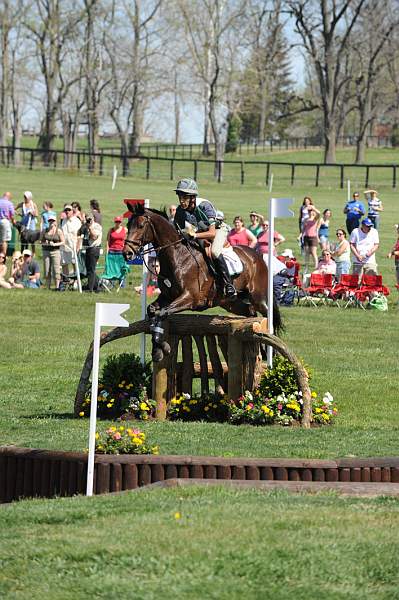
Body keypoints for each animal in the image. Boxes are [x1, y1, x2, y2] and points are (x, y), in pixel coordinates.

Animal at [123, 202, 282, 360]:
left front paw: (162, 346)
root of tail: (257, 256)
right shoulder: (167, 296)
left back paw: (272, 352)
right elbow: (152, 311)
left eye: (141, 226)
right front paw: (158, 348)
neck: (178, 256)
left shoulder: (190, 298)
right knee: (251, 315)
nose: (127, 253)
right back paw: (261, 350)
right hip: (233, 303)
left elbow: (161, 313)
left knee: (268, 317)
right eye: (128, 224)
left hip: (258, 297)